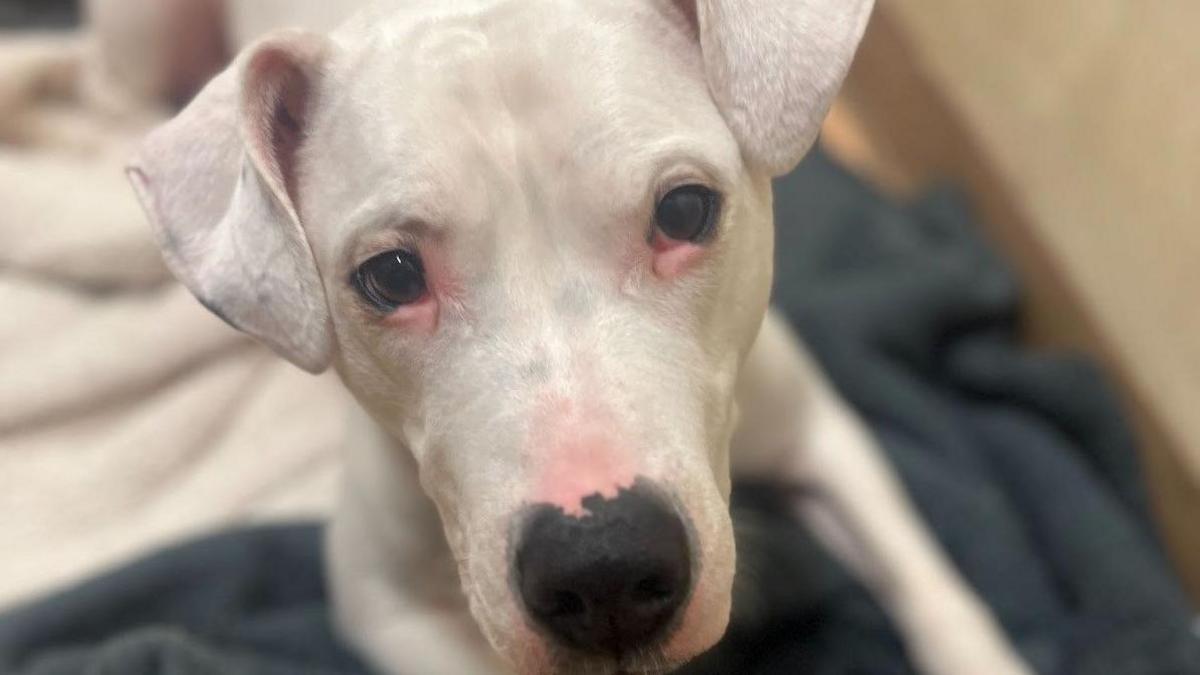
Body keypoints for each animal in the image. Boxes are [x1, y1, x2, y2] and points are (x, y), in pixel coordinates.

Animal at [129, 1, 1032, 672]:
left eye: (684, 209)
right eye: (390, 275)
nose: (603, 564)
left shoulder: (818, 433)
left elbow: (928, 582)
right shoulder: (381, 602)